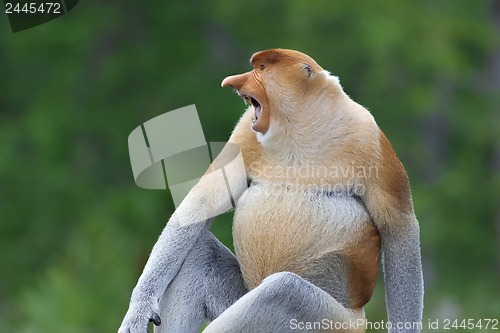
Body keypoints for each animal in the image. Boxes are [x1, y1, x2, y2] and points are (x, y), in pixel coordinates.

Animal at [119, 48, 424, 330]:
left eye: (263, 68)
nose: (232, 81)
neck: (298, 127)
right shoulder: (245, 132)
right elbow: (201, 204)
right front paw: (139, 308)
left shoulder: (369, 137)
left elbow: (399, 228)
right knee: (201, 254)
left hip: (332, 321)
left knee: (282, 291)